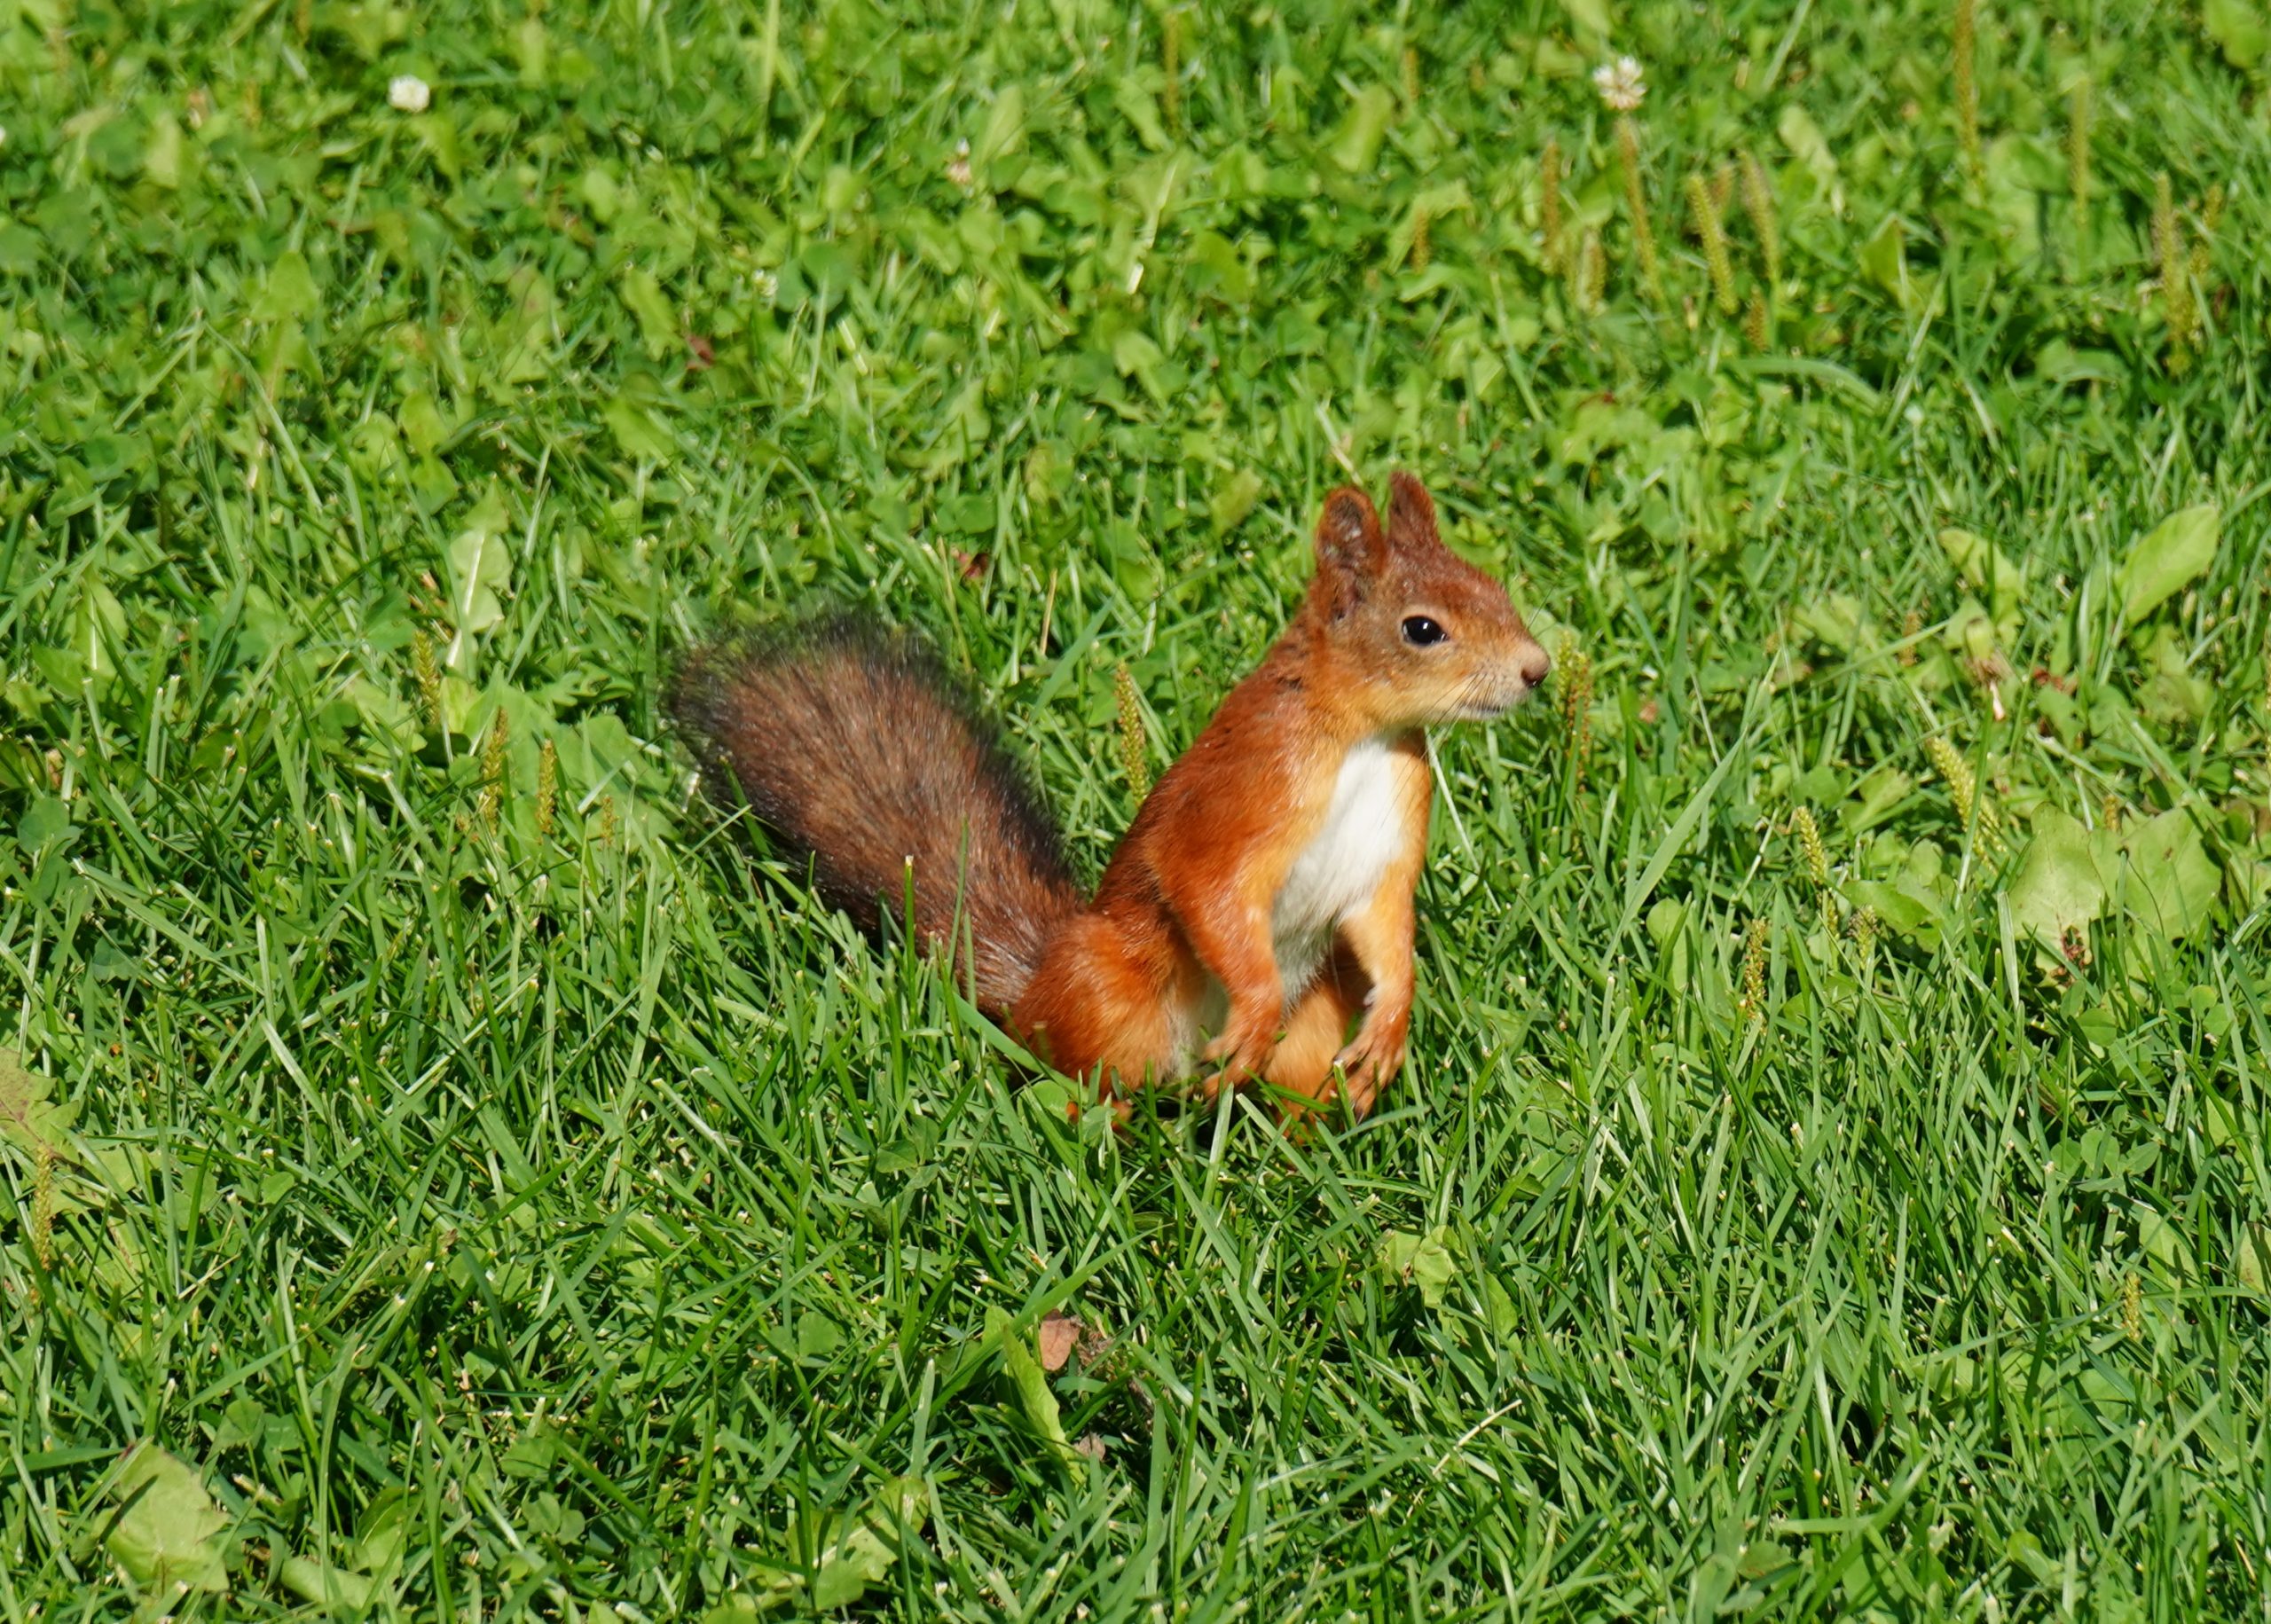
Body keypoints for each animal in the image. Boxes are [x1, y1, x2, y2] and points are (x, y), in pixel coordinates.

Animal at [672, 472, 1553, 1117]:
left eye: (1494, 587)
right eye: (1422, 629)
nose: (1538, 669)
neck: (1366, 740)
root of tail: (1033, 985)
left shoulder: (1387, 842)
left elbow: (1385, 927)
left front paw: (1393, 1024)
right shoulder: (1246, 794)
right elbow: (1204, 885)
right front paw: (1255, 1008)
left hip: (1315, 1021)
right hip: (1108, 988)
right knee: (1074, 1079)